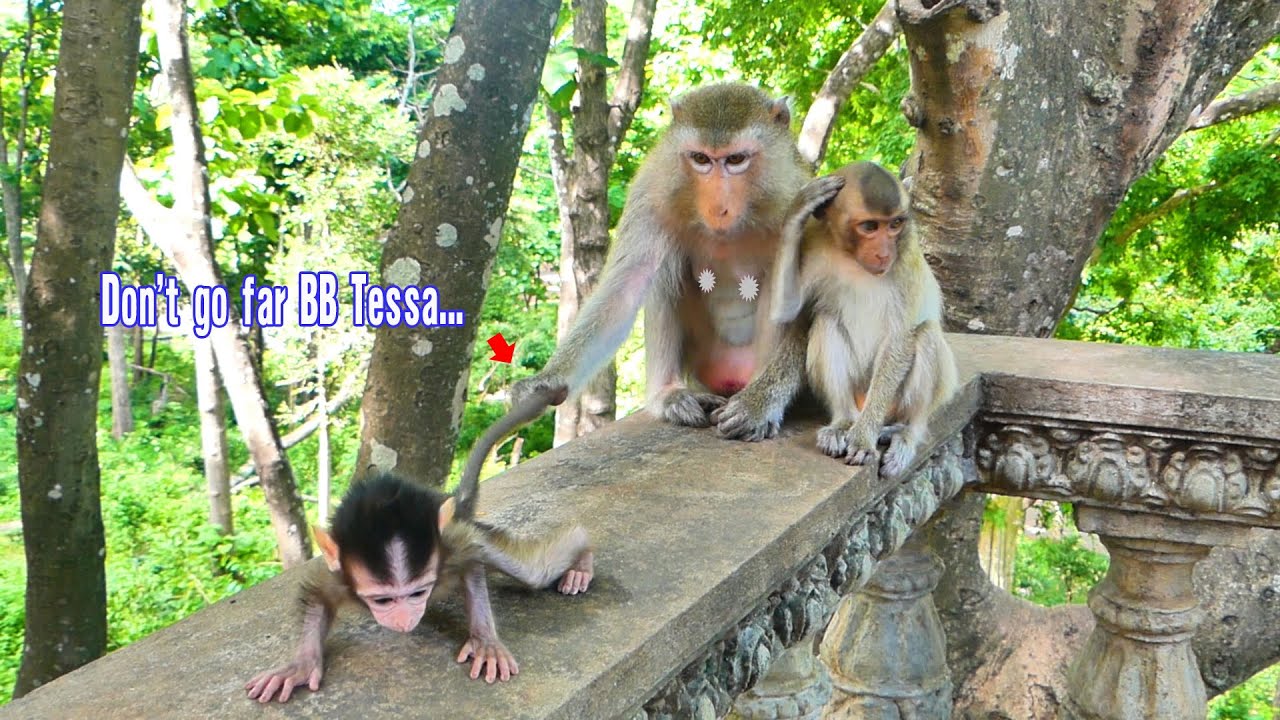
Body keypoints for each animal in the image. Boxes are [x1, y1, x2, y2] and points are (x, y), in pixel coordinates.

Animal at [245, 387, 592, 703]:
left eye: (417, 593)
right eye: (384, 601)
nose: (404, 622)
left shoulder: (456, 548)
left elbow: (474, 565)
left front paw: (484, 640)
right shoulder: (337, 577)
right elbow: (316, 595)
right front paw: (301, 665)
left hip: (458, 532)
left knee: (532, 573)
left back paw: (582, 557)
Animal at [512, 82, 812, 428]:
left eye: (736, 159)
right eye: (700, 159)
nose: (717, 207)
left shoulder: (807, 201)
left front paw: (758, 404)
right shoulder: (651, 194)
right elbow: (627, 285)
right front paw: (545, 382)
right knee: (663, 274)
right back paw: (668, 394)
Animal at [715, 162, 957, 479]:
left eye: (895, 224)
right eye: (870, 226)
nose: (884, 253)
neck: (855, 261)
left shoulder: (907, 262)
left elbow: (900, 339)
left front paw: (864, 438)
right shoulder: (815, 247)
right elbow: (787, 310)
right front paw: (800, 206)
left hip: (894, 403)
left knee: (925, 335)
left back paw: (905, 434)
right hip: (856, 391)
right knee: (825, 322)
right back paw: (842, 423)